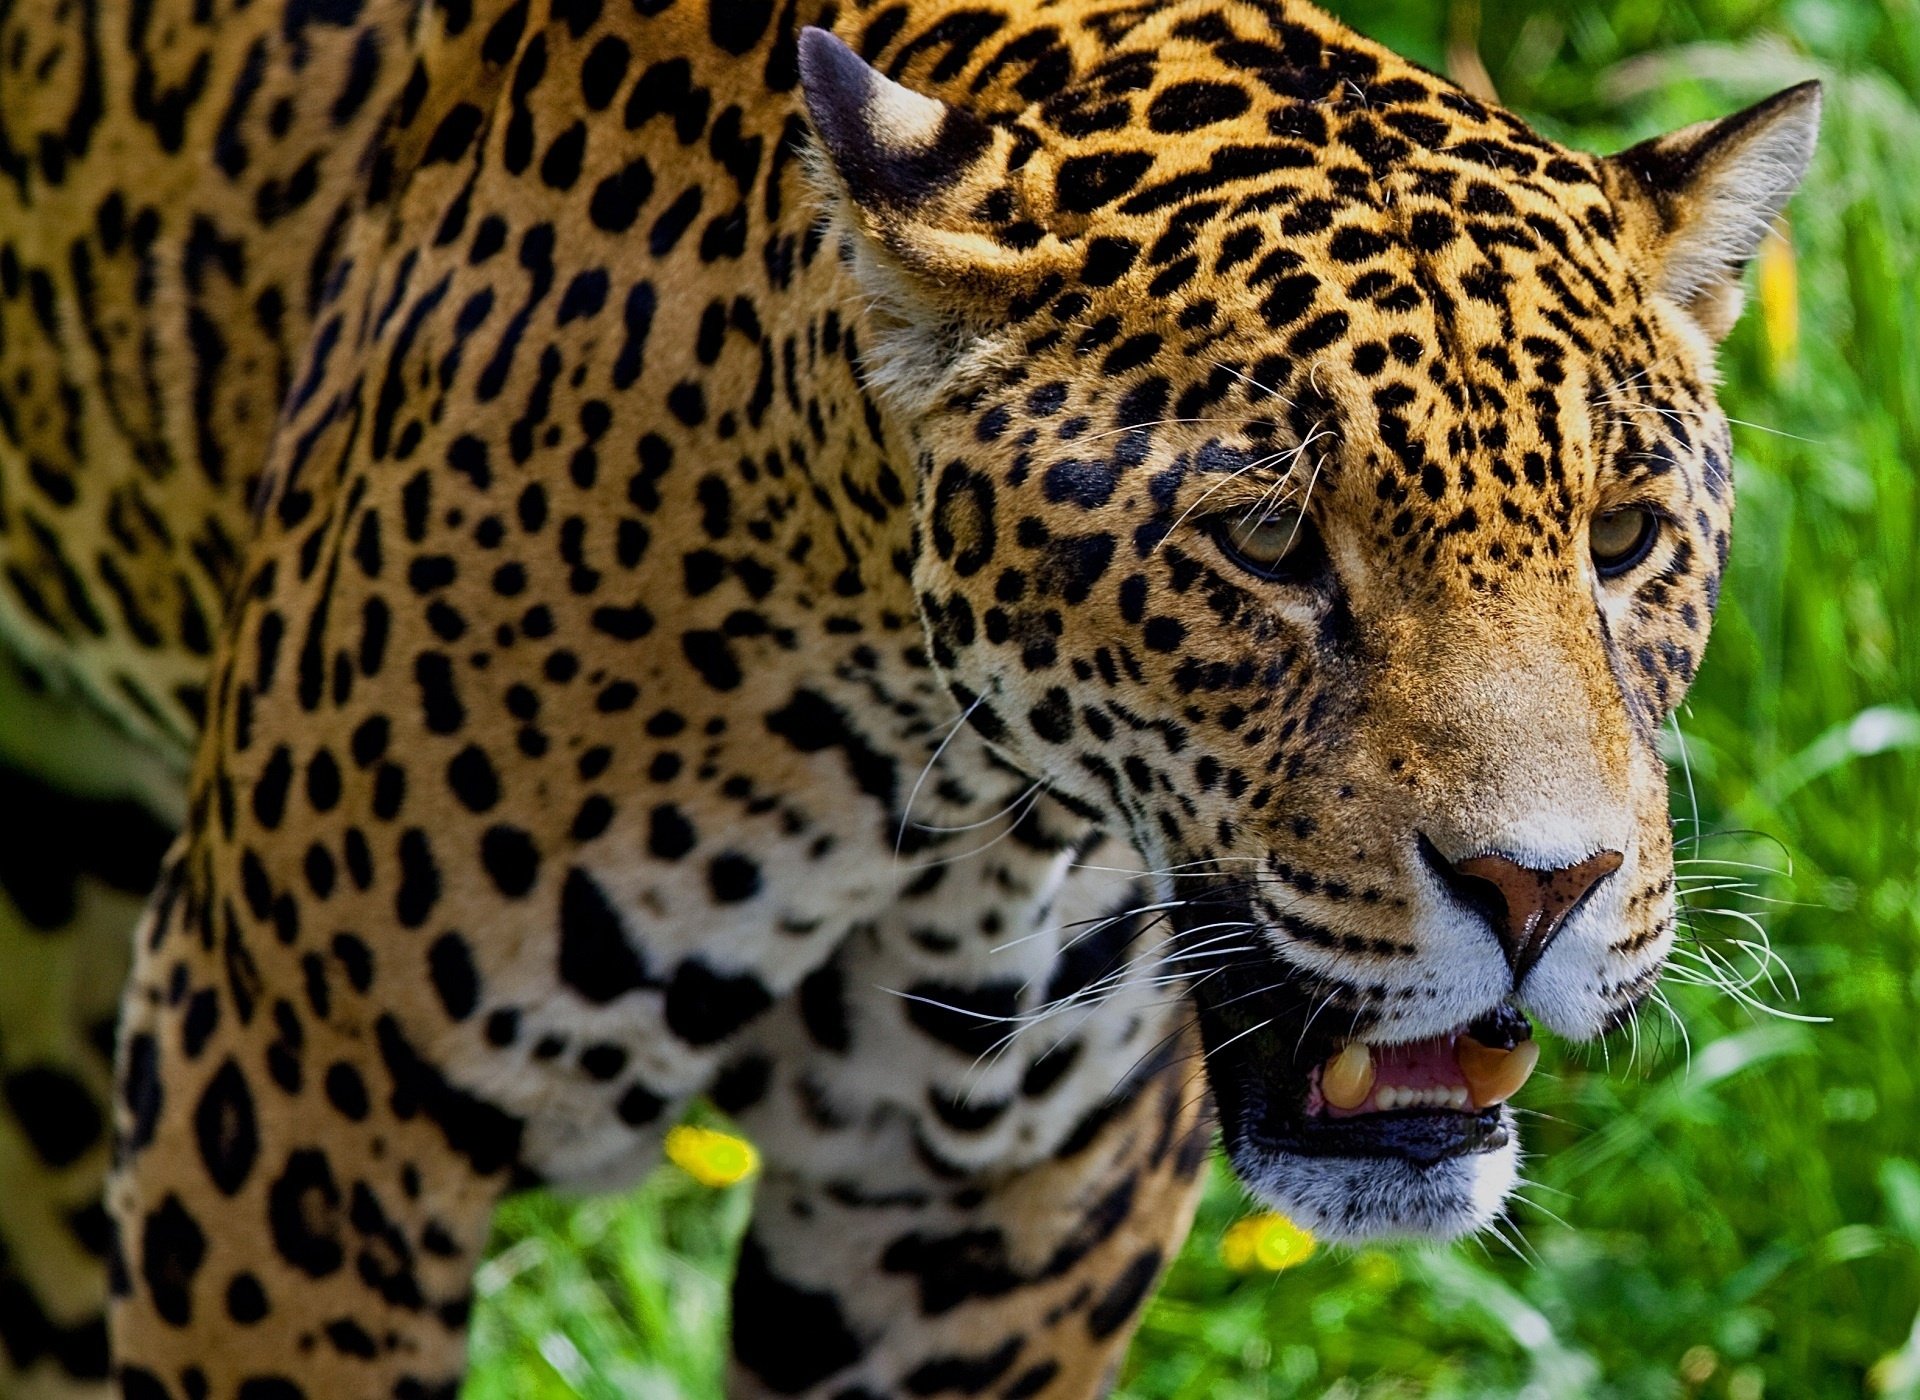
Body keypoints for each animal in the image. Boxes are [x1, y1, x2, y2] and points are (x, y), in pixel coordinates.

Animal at [0, 0, 1819, 1395]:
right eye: (1268, 544)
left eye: (1625, 538)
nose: (1544, 890)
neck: (916, 777)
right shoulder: (294, 1108)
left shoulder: (992, 1213)